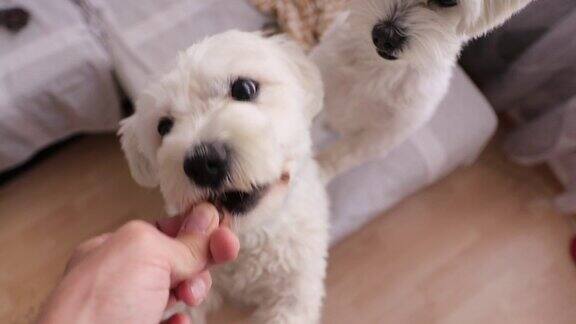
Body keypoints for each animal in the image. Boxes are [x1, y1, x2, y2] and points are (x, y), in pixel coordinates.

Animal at [312, 0, 532, 180]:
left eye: (447, 0)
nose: (385, 36)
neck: (378, 67)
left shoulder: (384, 135)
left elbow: (343, 155)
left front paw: (318, 173)